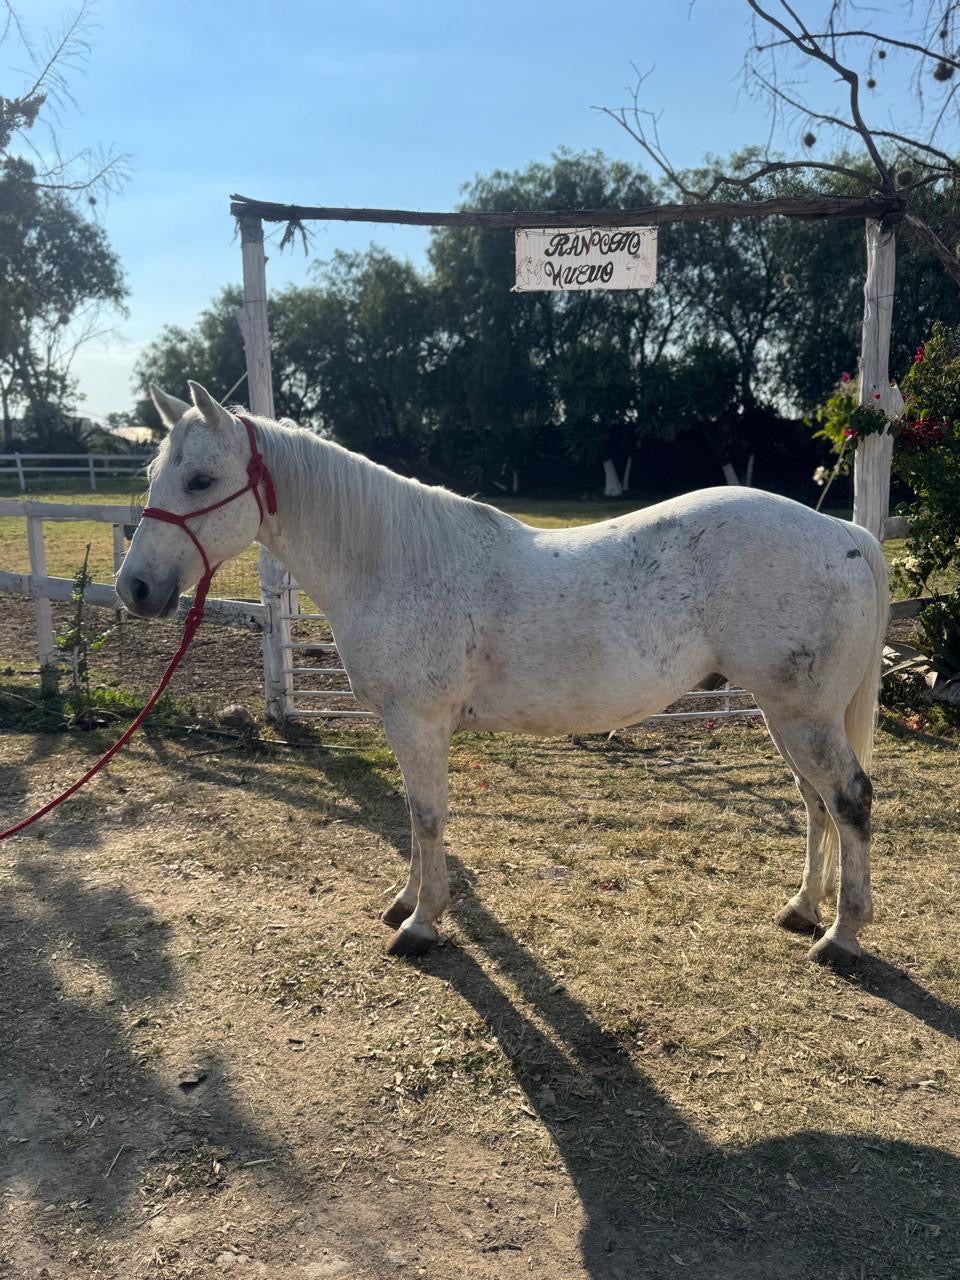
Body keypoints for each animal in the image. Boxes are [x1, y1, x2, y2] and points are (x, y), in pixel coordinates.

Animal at [117, 381, 889, 967]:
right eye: (153, 476)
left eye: (201, 479)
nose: (136, 589)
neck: (393, 561)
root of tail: (844, 534)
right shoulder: (405, 727)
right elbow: (412, 813)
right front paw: (407, 901)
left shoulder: (419, 723)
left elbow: (428, 816)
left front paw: (421, 924)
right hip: (786, 713)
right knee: (815, 800)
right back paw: (802, 908)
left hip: (803, 714)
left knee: (848, 799)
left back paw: (842, 936)